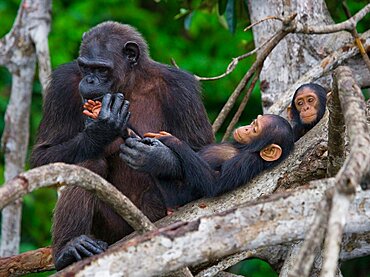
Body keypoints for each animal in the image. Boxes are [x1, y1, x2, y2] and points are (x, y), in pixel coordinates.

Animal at [30, 22, 214, 270]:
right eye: (85, 67)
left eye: (102, 70)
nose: (90, 81)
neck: (129, 83)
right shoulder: (62, 84)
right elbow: (43, 155)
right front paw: (101, 130)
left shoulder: (183, 90)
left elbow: (203, 156)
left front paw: (157, 158)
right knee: (89, 163)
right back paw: (69, 248)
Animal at [120, 113, 294, 208]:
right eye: (253, 123)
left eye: (255, 129)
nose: (246, 127)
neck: (244, 148)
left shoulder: (248, 161)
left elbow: (214, 182)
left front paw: (168, 143)